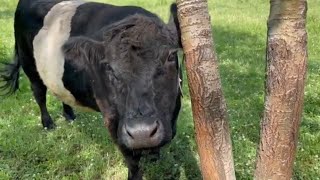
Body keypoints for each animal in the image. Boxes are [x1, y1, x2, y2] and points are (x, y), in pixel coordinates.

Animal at [0, 0, 182, 179]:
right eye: (107, 66)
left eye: (171, 56)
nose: (141, 132)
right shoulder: (111, 117)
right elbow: (131, 159)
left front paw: (153, 156)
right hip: (29, 64)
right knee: (39, 94)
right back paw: (48, 123)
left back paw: (69, 115)